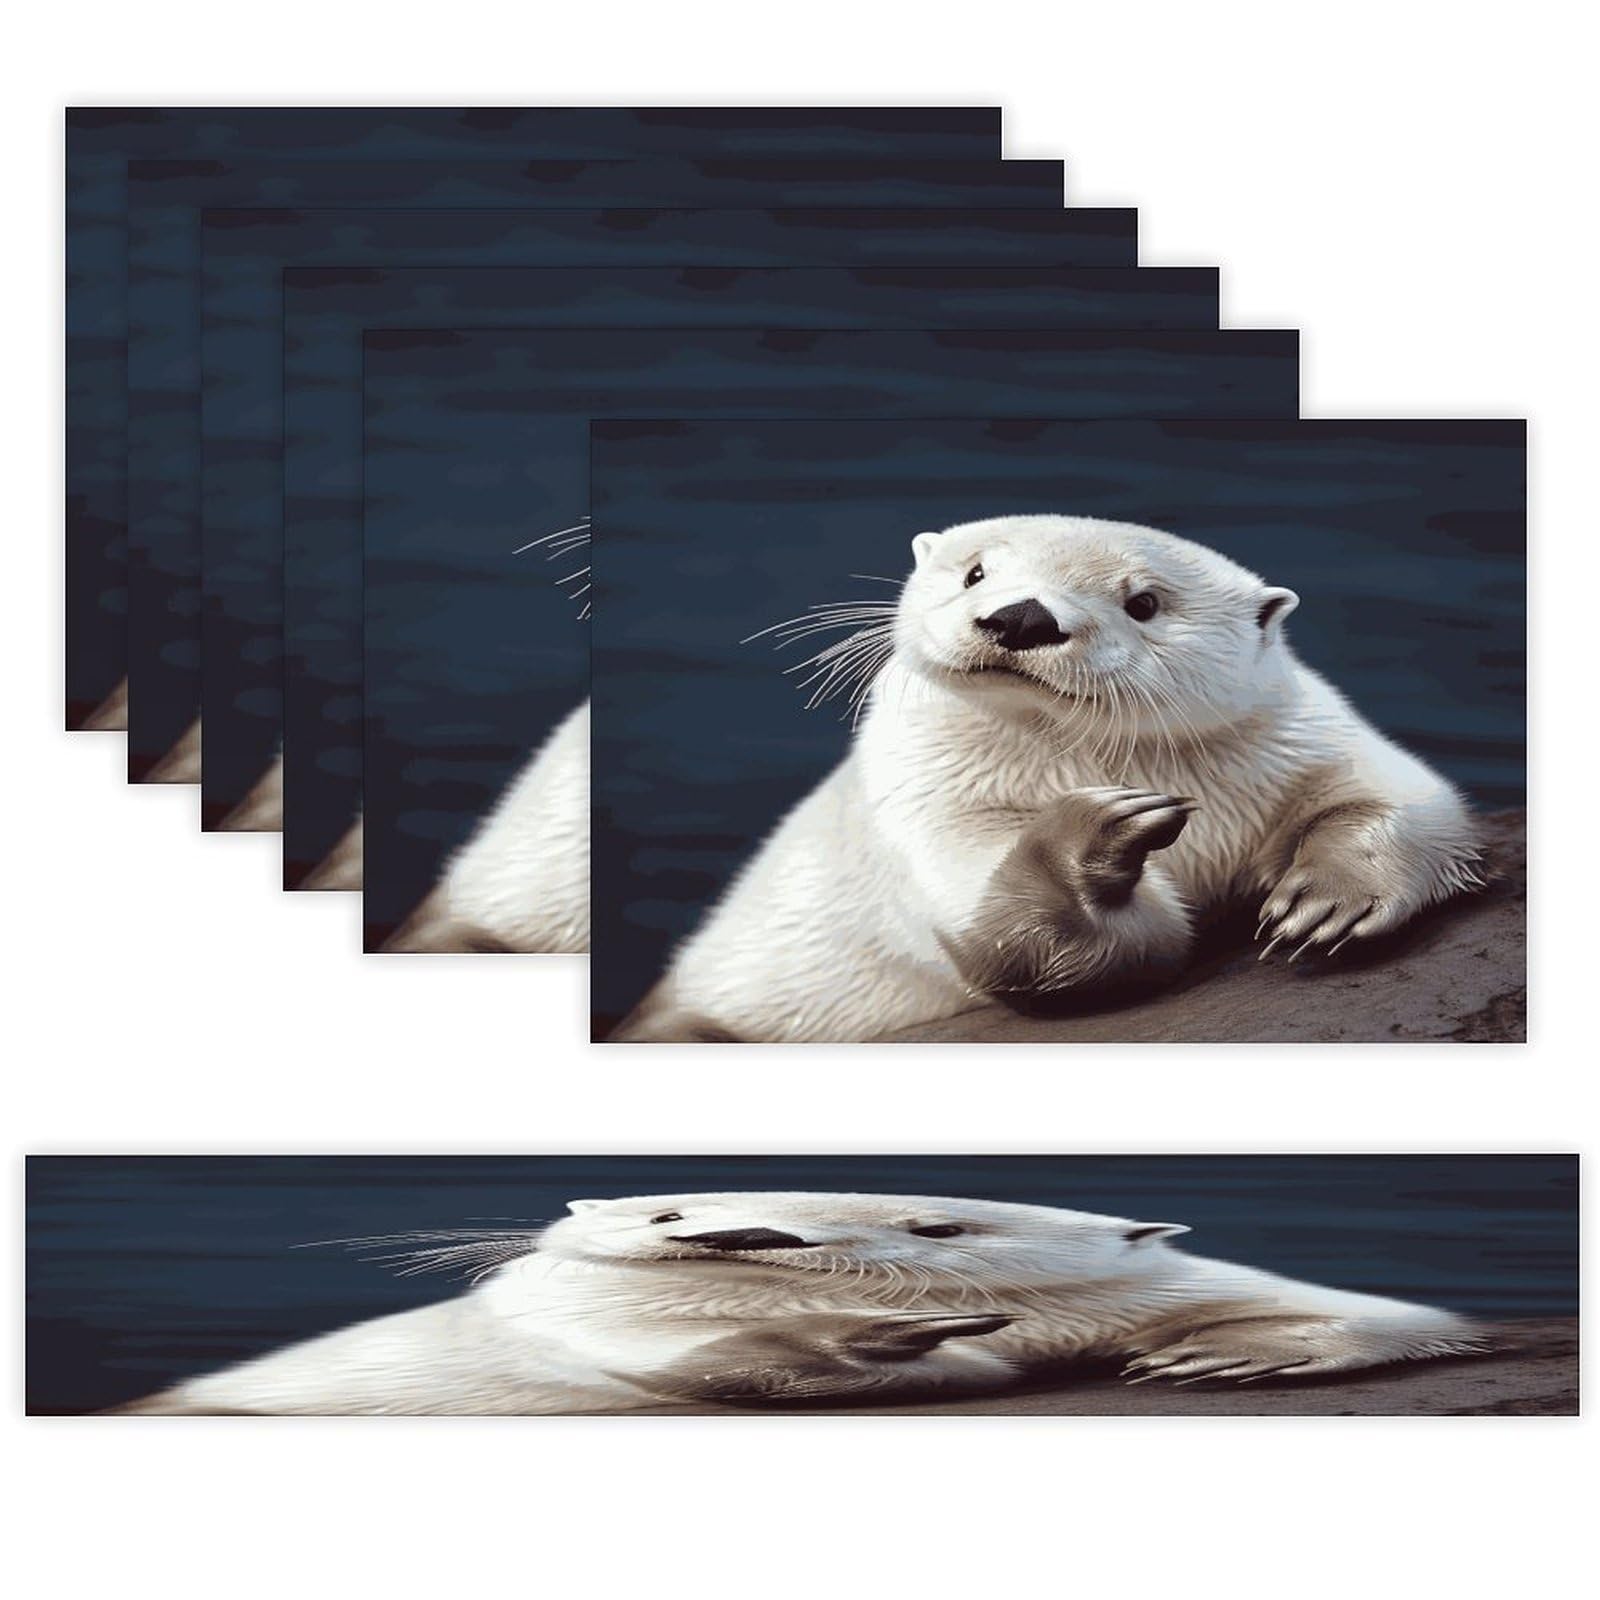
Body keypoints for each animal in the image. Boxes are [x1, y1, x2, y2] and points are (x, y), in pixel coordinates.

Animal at [614, 515, 1486, 1042]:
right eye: (974, 573)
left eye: (1144, 602)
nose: (1021, 615)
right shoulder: (929, 801)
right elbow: (1037, 939)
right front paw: (1101, 833)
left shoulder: (1295, 735)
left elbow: (1403, 796)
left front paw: (1328, 900)